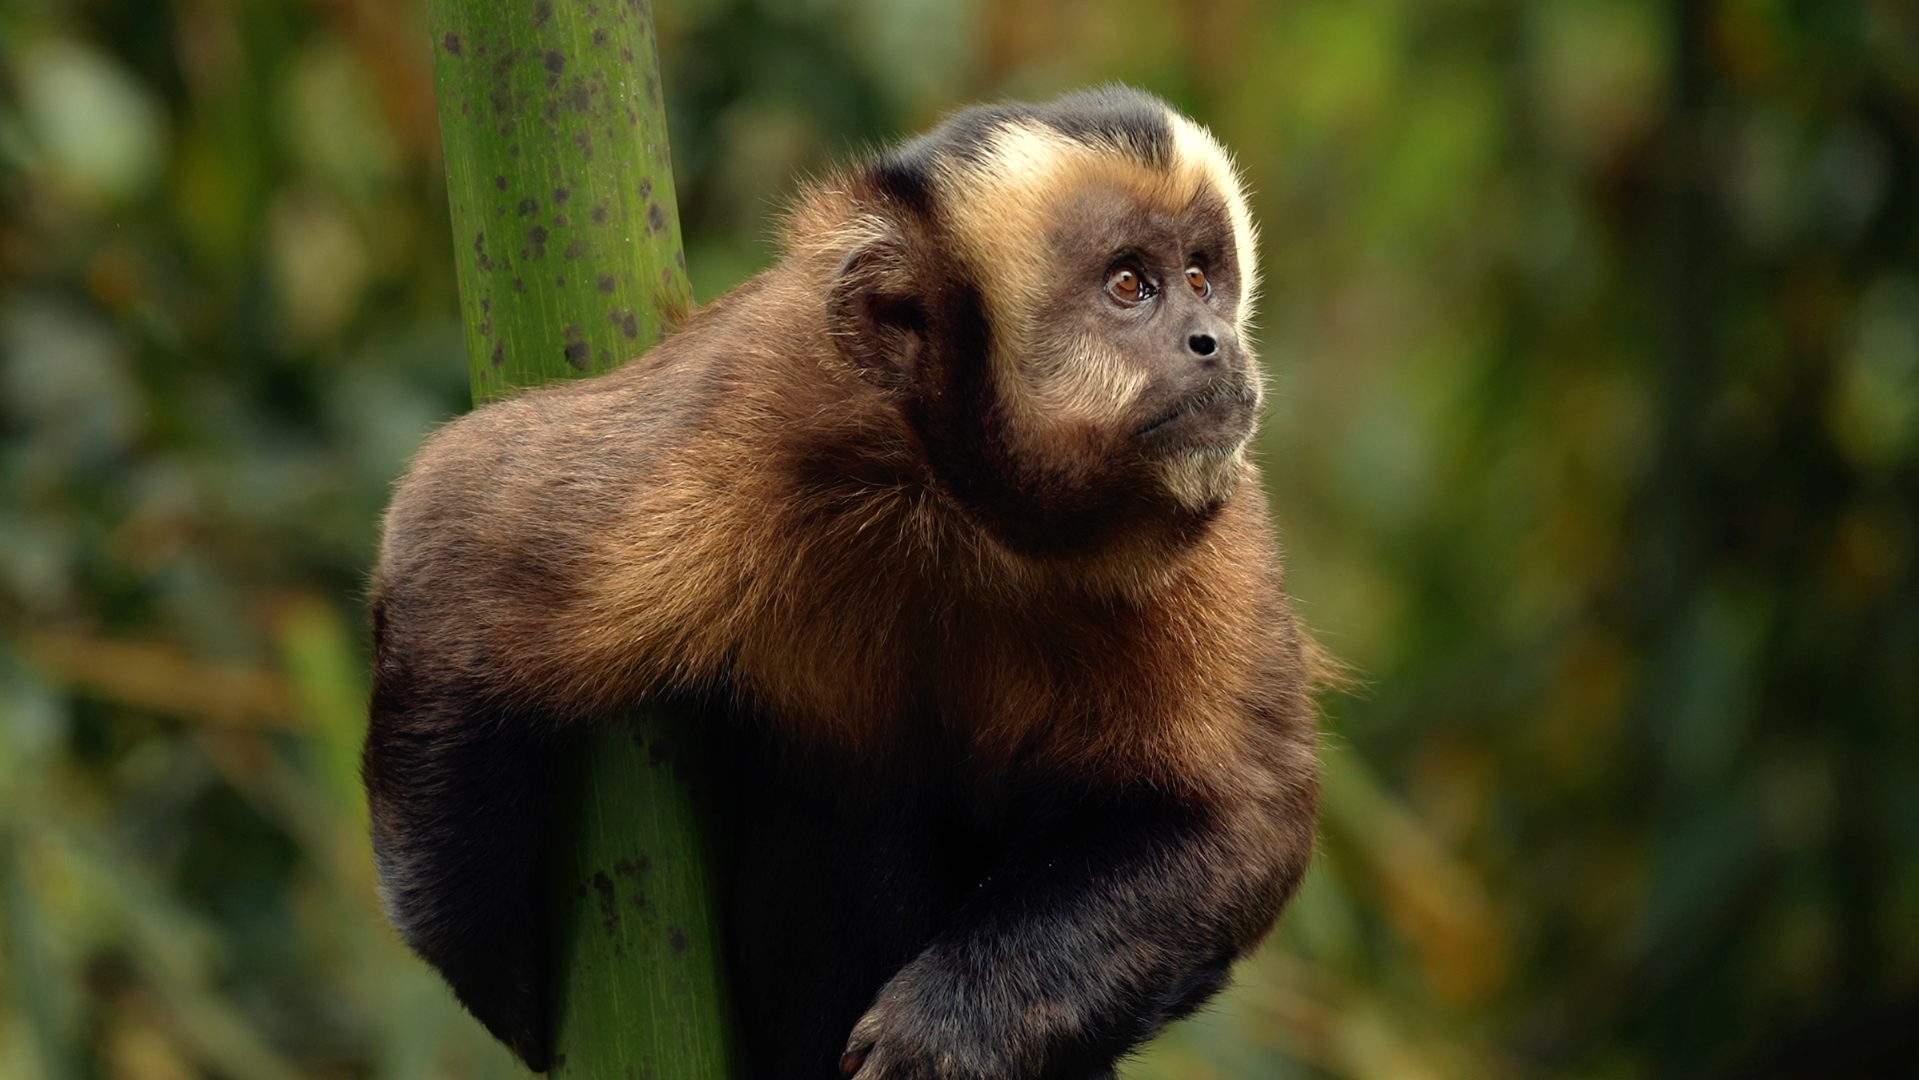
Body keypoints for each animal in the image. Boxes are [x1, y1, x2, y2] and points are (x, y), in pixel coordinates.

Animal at [363, 86, 1320, 1080]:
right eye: (1130, 286)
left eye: (1201, 278)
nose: (1212, 341)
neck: (958, 511)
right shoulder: (754, 400)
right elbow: (454, 548)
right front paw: (507, 980)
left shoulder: (1211, 529)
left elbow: (1239, 825)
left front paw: (954, 1026)